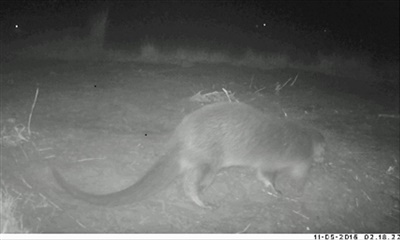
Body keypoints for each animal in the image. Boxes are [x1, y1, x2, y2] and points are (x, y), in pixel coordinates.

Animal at [51, 101, 326, 208]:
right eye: (322, 155)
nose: (325, 159)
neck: (300, 139)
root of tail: (181, 138)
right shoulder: (288, 162)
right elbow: (269, 176)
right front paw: (285, 190)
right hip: (210, 163)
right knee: (189, 184)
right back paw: (203, 201)